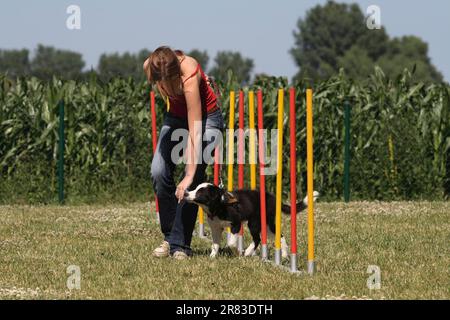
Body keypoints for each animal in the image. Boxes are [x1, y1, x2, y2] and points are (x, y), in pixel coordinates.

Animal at [184, 182, 320, 258]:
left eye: (200, 192)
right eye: (195, 188)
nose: (185, 193)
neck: (219, 205)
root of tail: (273, 199)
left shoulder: (236, 223)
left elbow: (231, 242)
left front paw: (236, 250)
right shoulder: (216, 228)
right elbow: (215, 244)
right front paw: (212, 256)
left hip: (254, 222)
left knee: (257, 239)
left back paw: (248, 252)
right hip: (267, 225)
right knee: (279, 235)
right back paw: (285, 255)